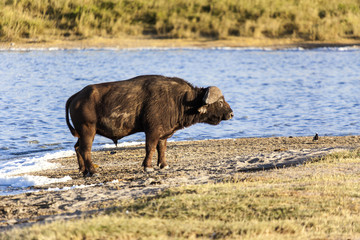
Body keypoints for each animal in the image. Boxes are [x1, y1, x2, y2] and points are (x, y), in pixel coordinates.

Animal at [65, 75, 233, 176]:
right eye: (220, 102)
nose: (231, 114)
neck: (178, 100)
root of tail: (77, 96)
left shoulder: (163, 134)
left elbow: (162, 149)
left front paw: (163, 165)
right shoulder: (152, 131)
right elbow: (150, 148)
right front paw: (148, 166)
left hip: (82, 133)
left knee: (77, 148)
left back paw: (83, 170)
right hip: (88, 130)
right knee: (85, 149)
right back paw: (92, 171)